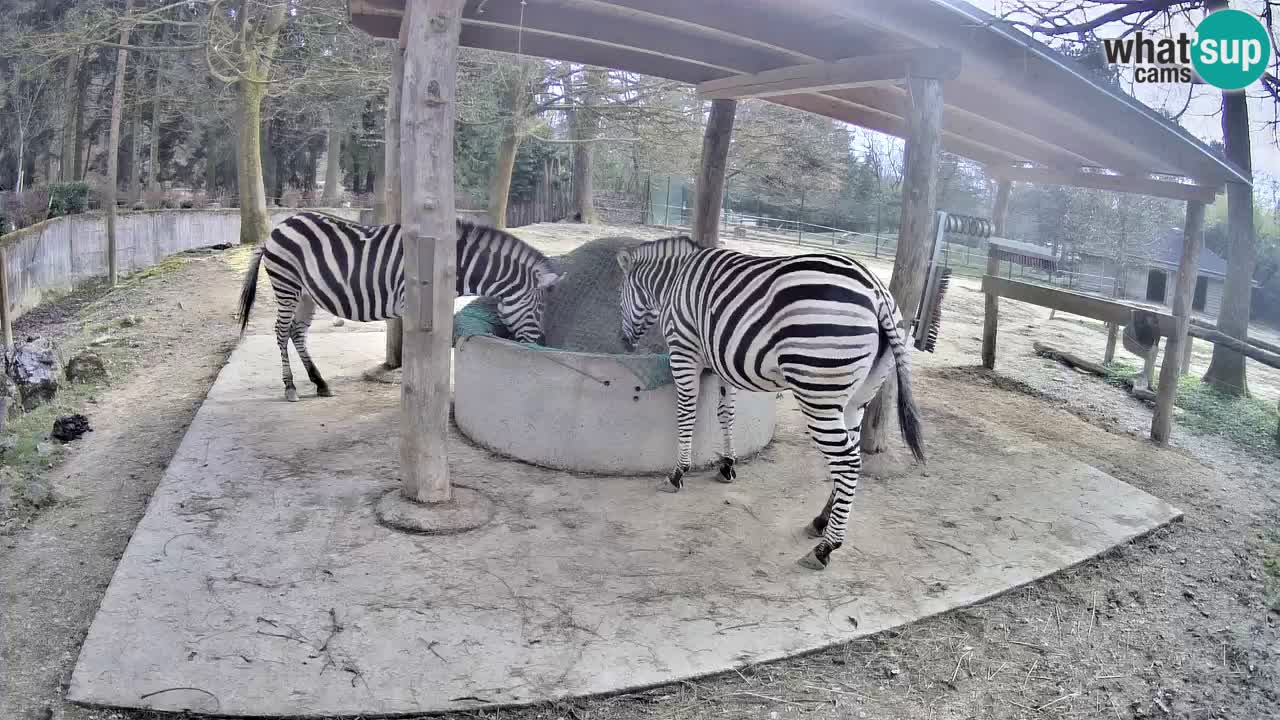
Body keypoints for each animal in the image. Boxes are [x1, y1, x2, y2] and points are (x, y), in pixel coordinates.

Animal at [237, 211, 561, 402]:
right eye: (540, 309)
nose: (543, 344)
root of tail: (281, 224)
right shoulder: (410, 303)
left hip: (306, 294)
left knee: (297, 332)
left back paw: (320, 383)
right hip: (287, 285)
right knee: (281, 331)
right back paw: (290, 387)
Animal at [615, 235, 925, 571]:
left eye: (619, 296)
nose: (623, 342)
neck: (674, 280)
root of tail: (877, 292)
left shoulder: (683, 350)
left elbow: (687, 412)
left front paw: (677, 473)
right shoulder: (722, 363)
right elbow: (726, 413)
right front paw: (727, 465)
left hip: (818, 391)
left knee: (847, 461)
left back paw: (826, 547)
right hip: (857, 396)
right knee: (851, 456)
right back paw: (820, 521)